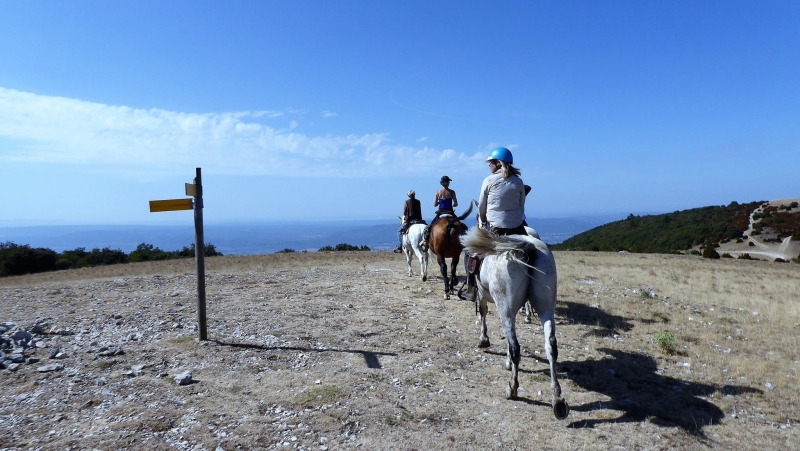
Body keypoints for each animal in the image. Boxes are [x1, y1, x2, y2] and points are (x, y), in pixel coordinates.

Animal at [456, 228, 568, 422]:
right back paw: (557, 399)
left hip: (505, 308)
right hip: (546, 307)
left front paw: (484, 340)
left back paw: (512, 389)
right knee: (551, 346)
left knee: (516, 347)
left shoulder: (483, 296)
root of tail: (528, 247)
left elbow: (484, 314)